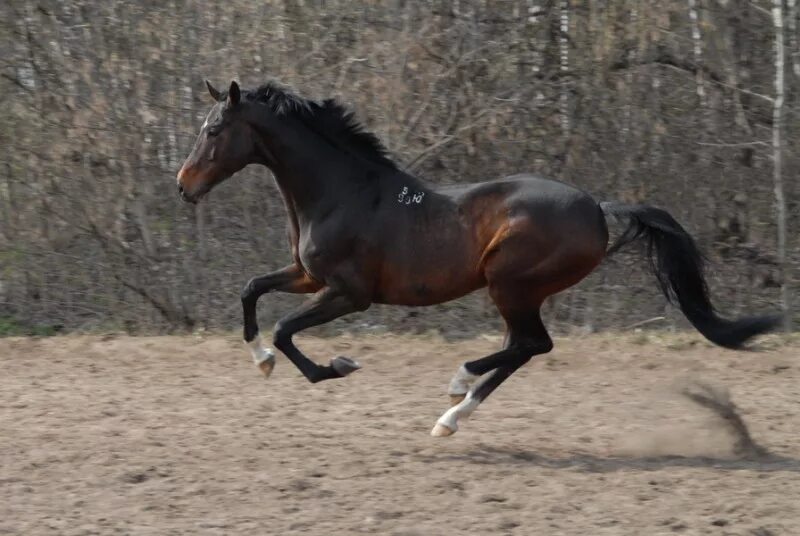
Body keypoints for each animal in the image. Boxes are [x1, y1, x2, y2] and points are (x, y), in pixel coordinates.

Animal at [177, 79, 780, 438]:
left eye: (214, 129)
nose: (183, 185)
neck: (340, 193)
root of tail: (599, 209)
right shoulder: (307, 276)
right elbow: (252, 289)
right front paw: (261, 360)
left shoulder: (350, 294)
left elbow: (285, 329)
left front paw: (336, 365)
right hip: (516, 291)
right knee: (524, 348)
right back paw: (452, 416)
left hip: (509, 283)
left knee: (531, 344)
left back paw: (457, 384)